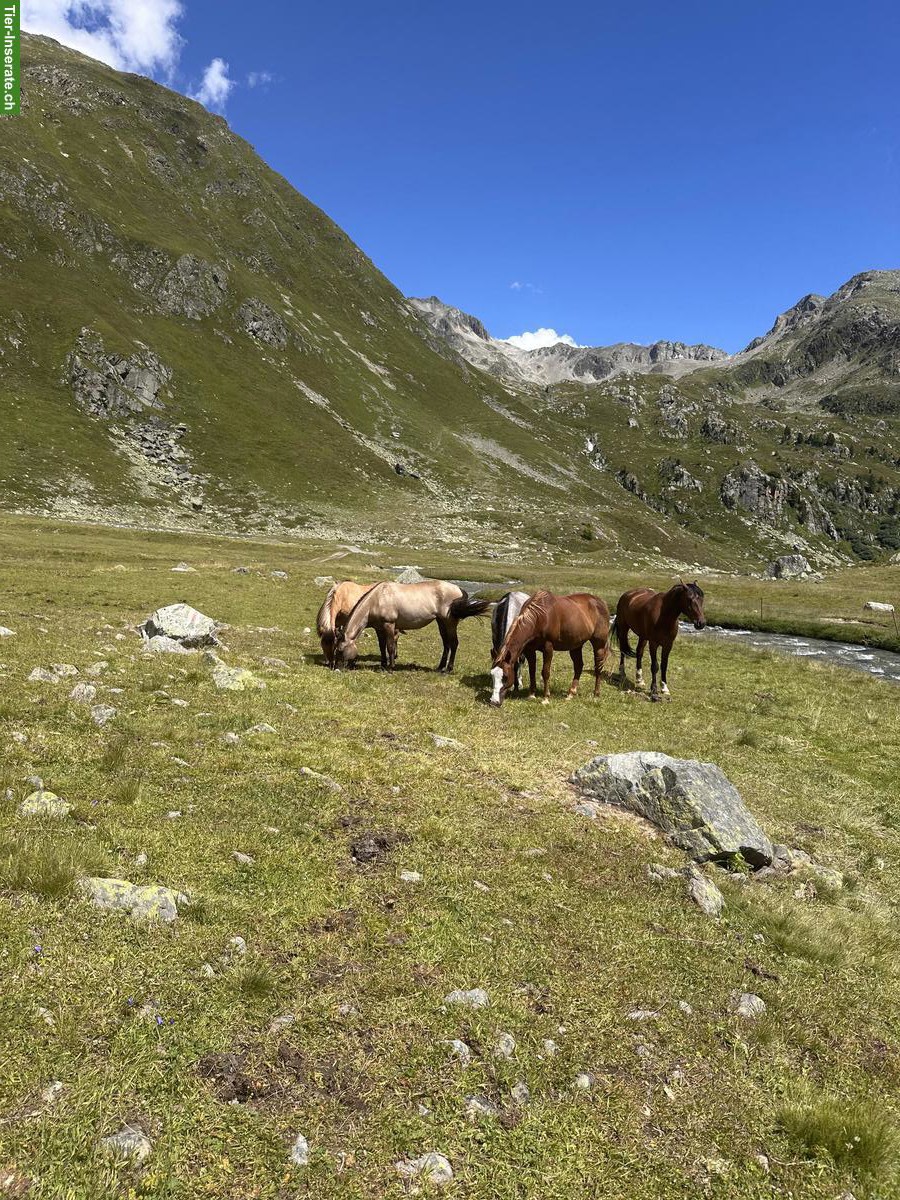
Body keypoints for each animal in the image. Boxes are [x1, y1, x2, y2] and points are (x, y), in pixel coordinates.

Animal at [336, 579, 490, 671]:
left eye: (340, 650)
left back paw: (448, 669)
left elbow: (390, 647)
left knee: (454, 643)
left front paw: (391, 668)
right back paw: (440, 667)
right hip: (441, 622)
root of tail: (459, 589)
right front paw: (383, 665)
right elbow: (382, 647)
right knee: (446, 644)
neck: (377, 599)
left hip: (450, 621)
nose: (336, 668)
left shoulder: (389, 625)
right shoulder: (379, 628)